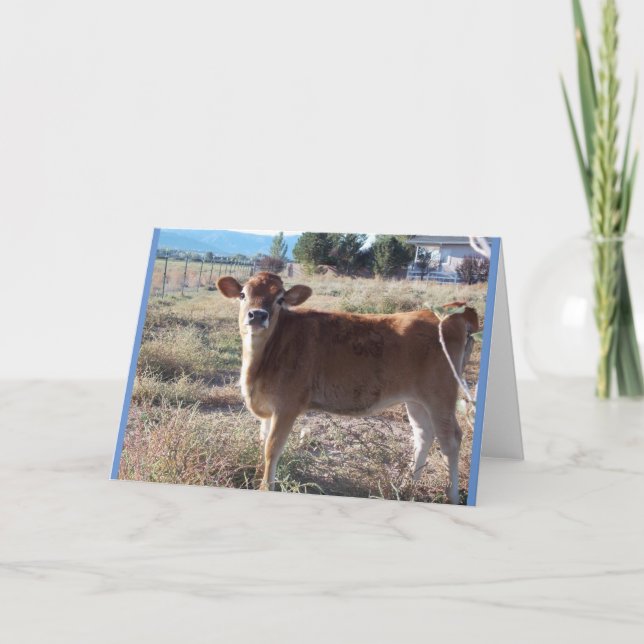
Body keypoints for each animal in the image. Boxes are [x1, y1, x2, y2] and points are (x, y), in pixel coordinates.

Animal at [217, 271, 479, 504]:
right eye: (243, 294)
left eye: (280, 299)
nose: (257, 315)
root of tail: (453, 312)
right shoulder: (269, 408)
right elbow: (262, 443)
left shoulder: (287, 407)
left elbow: (272, 449)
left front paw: (265, 488)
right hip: (416, 400)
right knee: (424, 435)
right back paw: (406, 487)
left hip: (441, 395)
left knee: (450, 440)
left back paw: (452, 497)